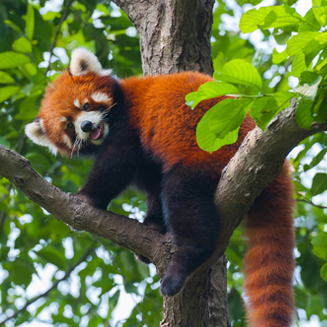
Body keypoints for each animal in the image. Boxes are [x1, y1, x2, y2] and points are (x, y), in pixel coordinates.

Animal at [25, 47, 296, 326]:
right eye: (69, 125)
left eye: (86, 105)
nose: (87, 126)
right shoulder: (148, 157)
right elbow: (152, 185)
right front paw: (154, 225)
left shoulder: (129, 126)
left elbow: (115, 165)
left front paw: (87, 197)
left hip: (209, 155)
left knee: (183, 199)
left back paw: (184, 262)